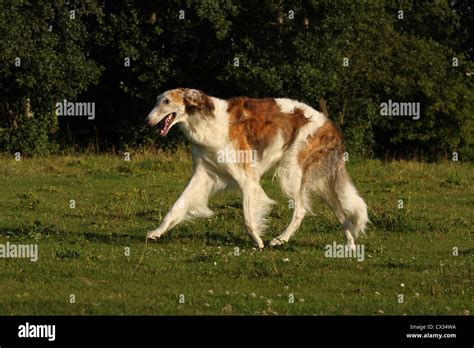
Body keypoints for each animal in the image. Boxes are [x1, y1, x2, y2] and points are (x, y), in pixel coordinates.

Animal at [146, 88, 368, 249]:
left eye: (166, 101)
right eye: (157, 100)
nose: (147, 121)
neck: (208, 120)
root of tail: (331, 125)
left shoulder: (247, 179)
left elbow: (247, 217)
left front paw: (258, 241)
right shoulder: (202, 174)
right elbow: (177, 205)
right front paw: (156, 232)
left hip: (292, 172)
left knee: (301, 210)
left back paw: (281, 238)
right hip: (319, 183)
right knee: (341, 213)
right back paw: (350, 245)